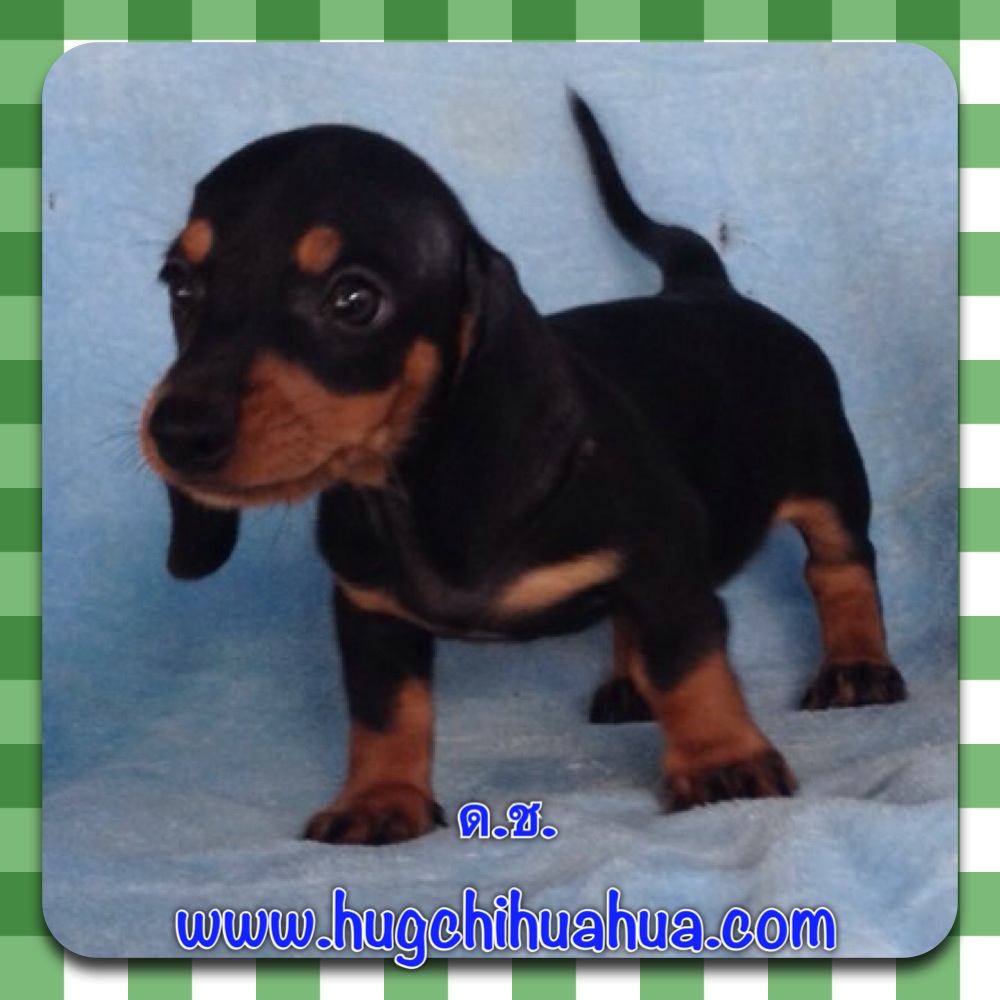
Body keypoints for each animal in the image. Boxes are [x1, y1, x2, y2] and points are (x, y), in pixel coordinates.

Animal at [139, 95, 907, 846]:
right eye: (180, 286)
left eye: (353, 300)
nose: (177, 432)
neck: (407, 494)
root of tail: (704, 289)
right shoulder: (370, 615)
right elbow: (384, 712)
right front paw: (380, 798)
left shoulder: (666, 575)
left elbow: (689, 665)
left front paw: (722, 762)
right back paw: (631, 687)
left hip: (830, 482)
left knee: (838, 569)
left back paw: (856, 668)